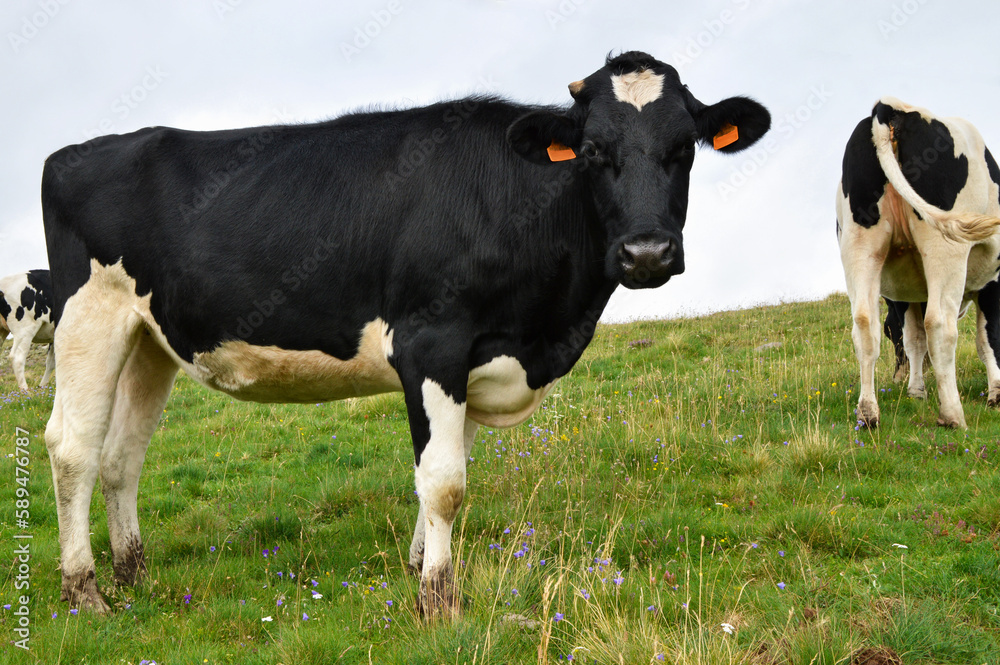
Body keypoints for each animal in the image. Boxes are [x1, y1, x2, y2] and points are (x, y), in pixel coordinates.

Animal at [43, 50, 768, 612]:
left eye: (684, 149)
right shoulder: (431, 342)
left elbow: (444, 473)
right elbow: (445, 481)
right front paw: (439, 599)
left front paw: (420, 568)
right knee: (72, 447)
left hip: (149, 338)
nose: (647, 252)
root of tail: (80, 150)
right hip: (87, 316)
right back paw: (86, 591)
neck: (545, 331)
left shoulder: (477, 358)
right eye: (592, 151)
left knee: (122, 455)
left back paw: (134, 575)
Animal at [836, 96, 1000, 428]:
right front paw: (997, 394)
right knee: (939, 324)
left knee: (865, 323)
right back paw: (952, 415)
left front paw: (915, 390)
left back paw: (868, 413)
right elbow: (987, 338)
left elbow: (913, 339)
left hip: (860, 245)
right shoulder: (992, 279)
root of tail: (890, 107)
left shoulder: (905, 293)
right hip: (944, 246)